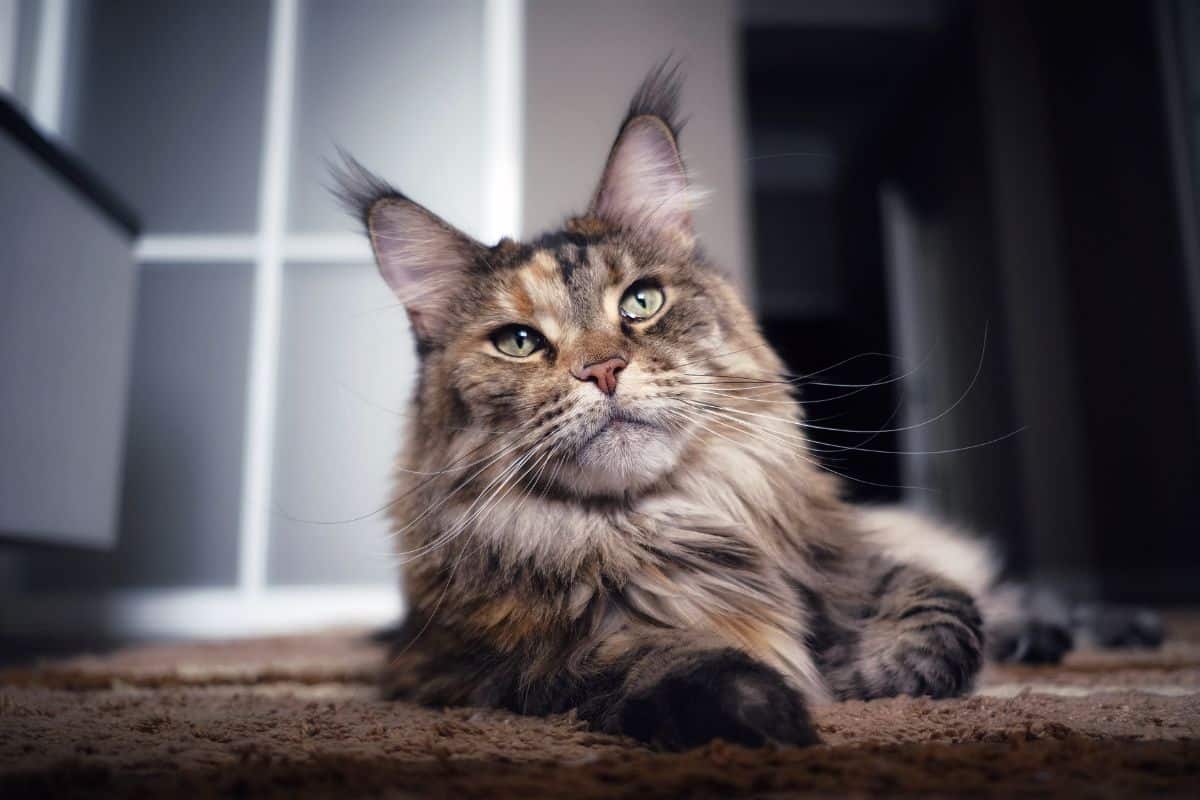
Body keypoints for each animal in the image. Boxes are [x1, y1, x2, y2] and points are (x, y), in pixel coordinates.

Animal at [333, 62, 1156, 753]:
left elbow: (942, 612)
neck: (658, 522)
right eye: (519, 342)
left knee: (998, 586)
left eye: (641, 302)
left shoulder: (853, 558)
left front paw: (860, 673)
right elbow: (635, 660)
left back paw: (1100, 626)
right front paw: (761, 707)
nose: (603, 369)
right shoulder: (474, 666)